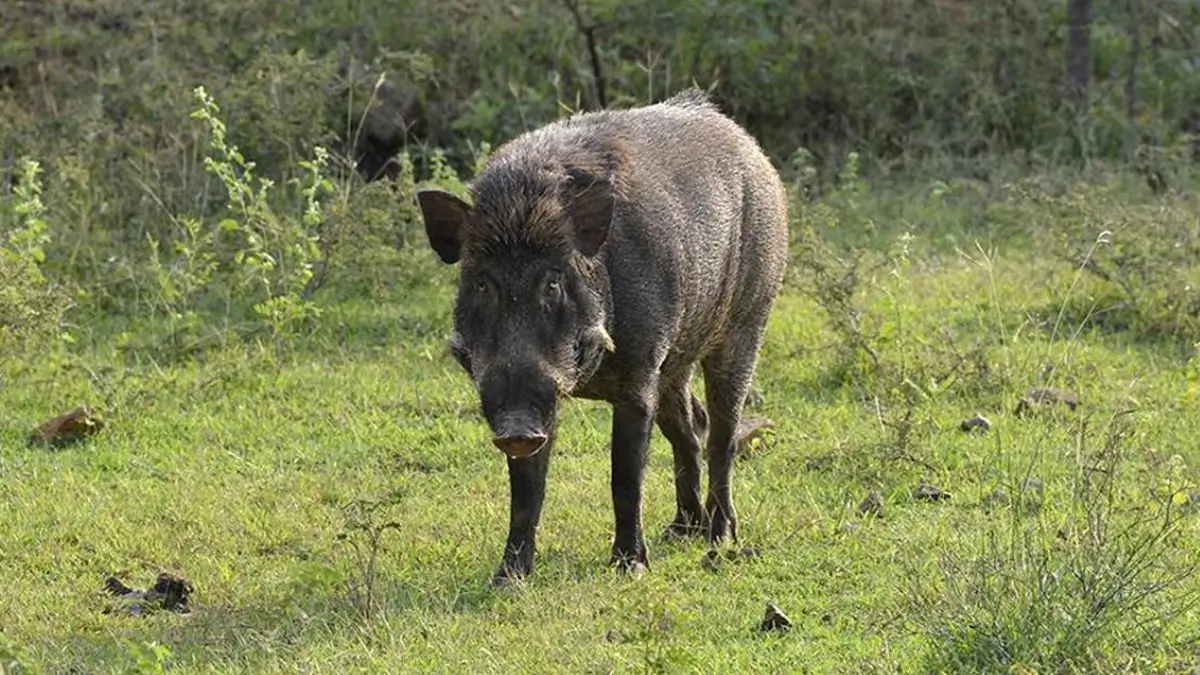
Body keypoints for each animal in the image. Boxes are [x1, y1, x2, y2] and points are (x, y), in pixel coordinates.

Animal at [415, 87, 788, 585]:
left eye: (553, 283)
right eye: (481, 284)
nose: (516, 428)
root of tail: (752, 149)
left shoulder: (638, 370)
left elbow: (625, 475)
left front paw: (631, 568)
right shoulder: (549, 396)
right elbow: (526, 490)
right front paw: (508, 578)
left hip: (748, 322)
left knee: (721, 435)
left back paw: (720, 537)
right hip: (675, 361)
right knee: (690, 427)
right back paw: (681, 532)